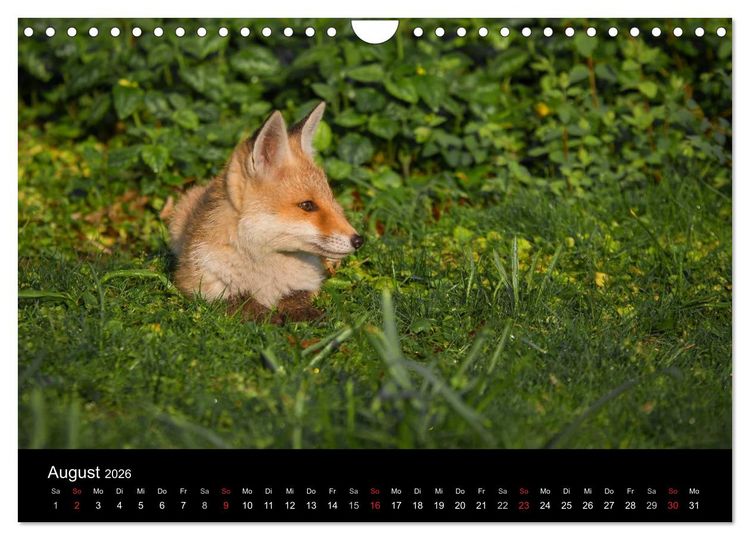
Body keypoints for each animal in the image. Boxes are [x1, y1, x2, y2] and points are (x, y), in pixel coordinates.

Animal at [167, 102, 363, 323]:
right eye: (307, 205)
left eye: (330, 199)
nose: (359, 240)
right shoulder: (198, 284)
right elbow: (241, 302)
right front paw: (267, 317)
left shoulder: (308, 284)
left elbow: (296, 296)